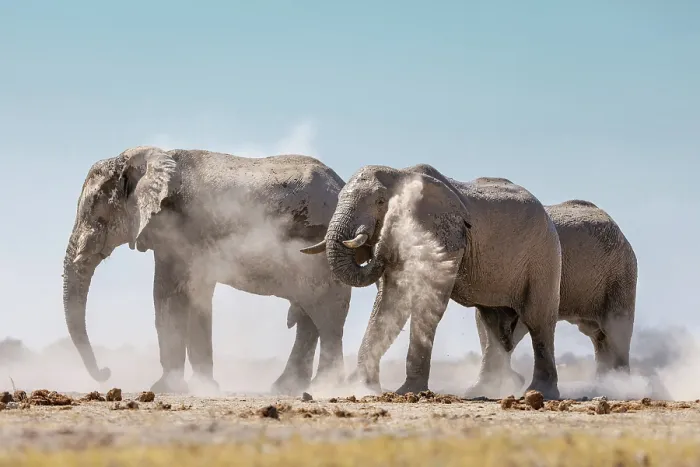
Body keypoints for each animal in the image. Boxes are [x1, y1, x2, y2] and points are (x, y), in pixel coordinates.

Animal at [63, 146, 352, 395]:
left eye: (97, 214)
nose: (106, 371)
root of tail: (339, 182)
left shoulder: (181, 231)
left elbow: (169, 297)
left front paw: (166, 388)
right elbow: (192, 298)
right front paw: (203, 386)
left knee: (326, 313)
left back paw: (325, 387)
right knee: (309, 315)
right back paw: (287, 388)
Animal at [300, 163, 563, 400]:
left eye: (380, 202)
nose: (380, 237)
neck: (401, 173)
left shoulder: (443, 237)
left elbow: (427, 303)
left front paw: (407, 392)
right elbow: (389, 305)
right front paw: (364, 388)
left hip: (544, 256)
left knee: (538, 322)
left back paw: (540, 392)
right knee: (492, 323)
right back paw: (482, 392)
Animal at [469, 199, 638, 398]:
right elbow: (486, 324)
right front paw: (485, 387)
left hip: (620, 275)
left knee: (616, 330)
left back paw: (620, 387)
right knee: (599, 337)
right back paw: (603, 387)